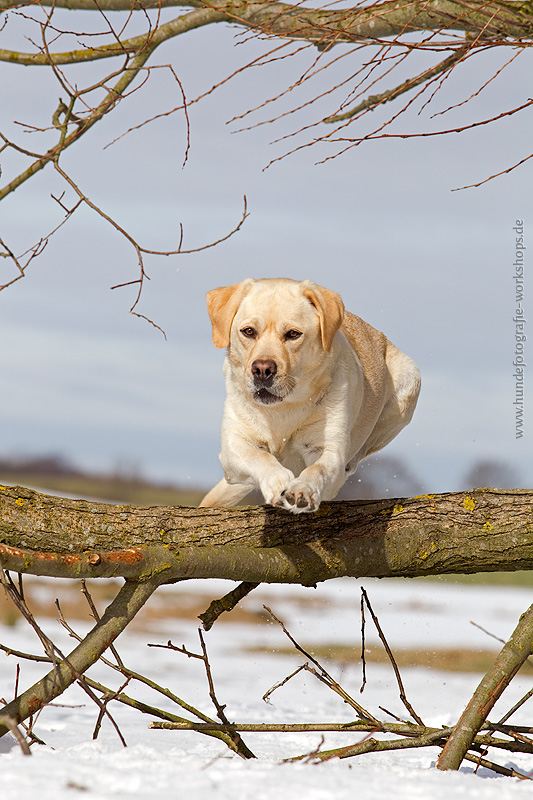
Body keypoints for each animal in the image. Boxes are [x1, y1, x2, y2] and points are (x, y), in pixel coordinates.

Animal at [200, 278, 420, 516]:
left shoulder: (328, 450)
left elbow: (317, 470)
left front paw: (302, 490)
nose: (262, 369)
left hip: (409, 384)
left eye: (293, 334)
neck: (282, 410)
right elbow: (260, 456)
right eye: (248, 331)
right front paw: (278, 481)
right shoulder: (233, 446)